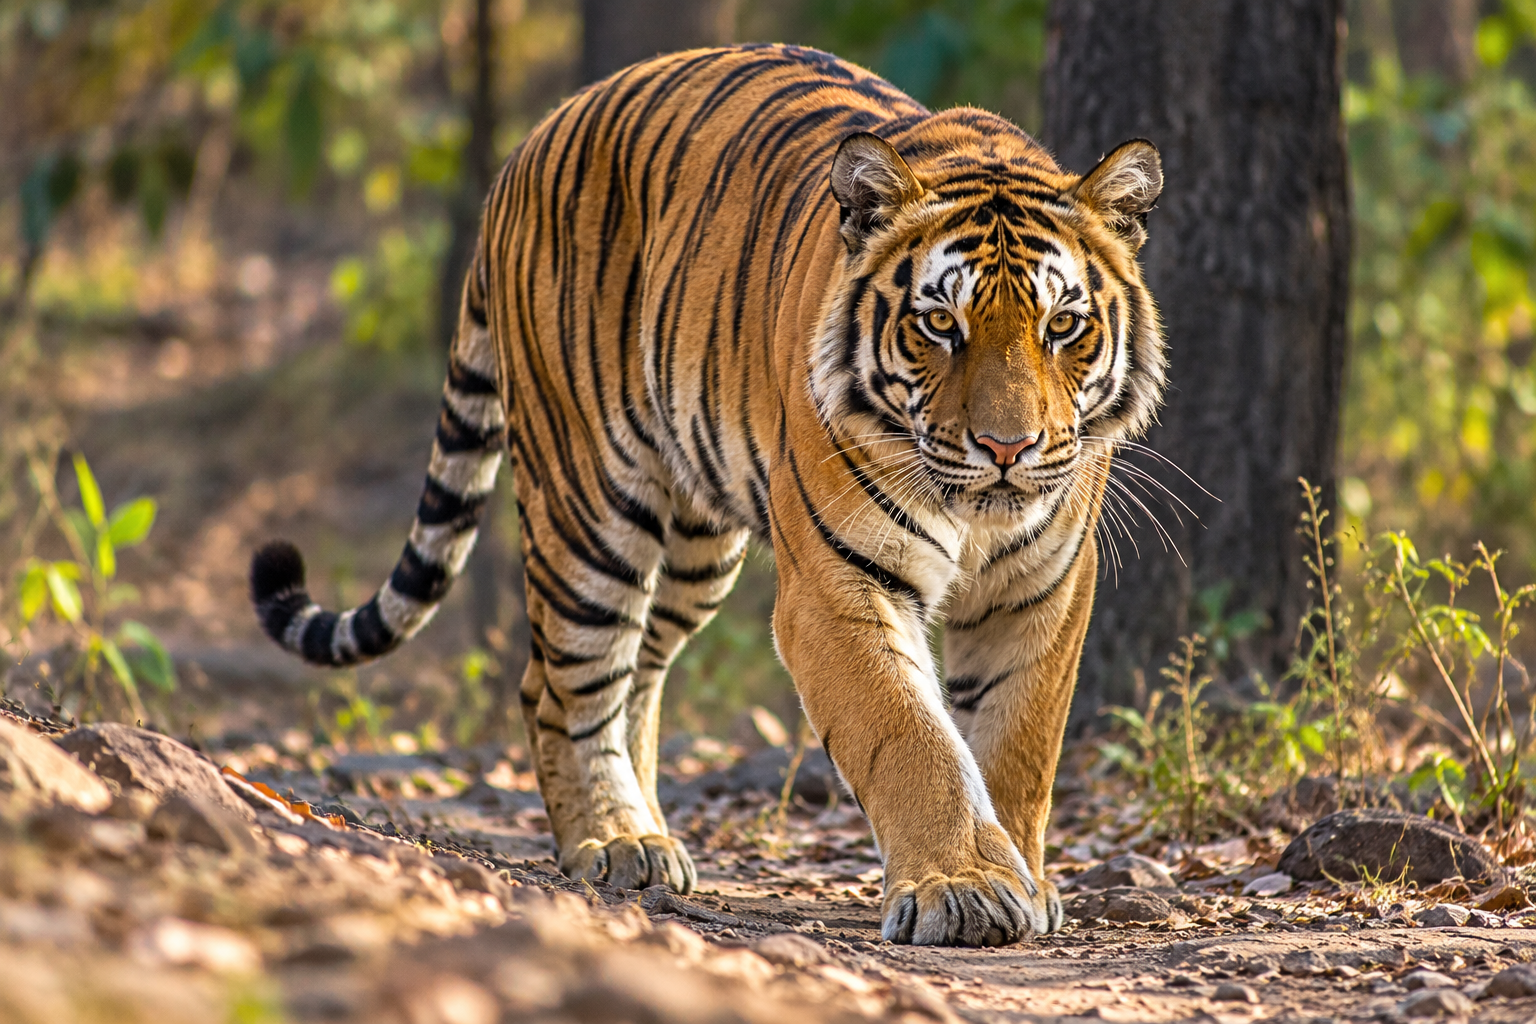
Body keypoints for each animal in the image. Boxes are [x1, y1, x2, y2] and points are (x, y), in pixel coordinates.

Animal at [250, 43, 1165, 947]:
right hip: (588, 509)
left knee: (638, 675)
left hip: (696, 546)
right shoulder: (836, 585)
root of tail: (524, 149)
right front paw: (965, 887)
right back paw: (614, 840)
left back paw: (648, 828)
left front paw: (1026, 880)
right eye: (941, 324)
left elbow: (1018, 743)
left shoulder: (1044, 586)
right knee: (566, 681)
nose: (1008, 449)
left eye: (1063, 327)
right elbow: (913, 737)